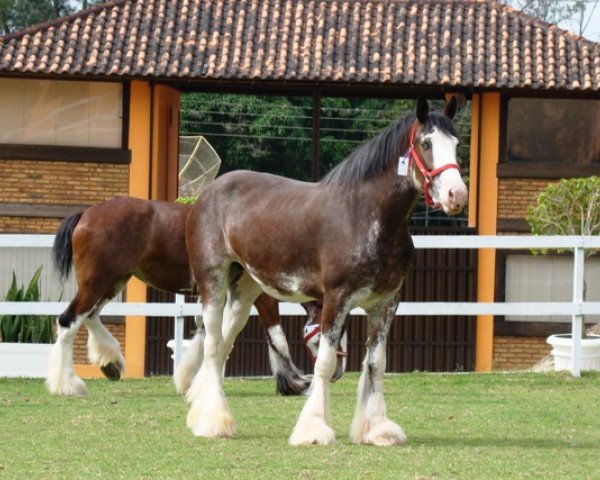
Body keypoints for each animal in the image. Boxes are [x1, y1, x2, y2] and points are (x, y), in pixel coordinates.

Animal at [47, 198, 310, 398]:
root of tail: (85, 213)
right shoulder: (259, 294)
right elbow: (277, 337)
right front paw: (296, 382)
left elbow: (207, 334)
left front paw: (190, 380)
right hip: (97, 283)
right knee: (68, 321)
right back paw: (67, 385)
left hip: (113, 282)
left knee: (90, 316)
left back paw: (111, 363)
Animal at [185, 97, 466, 446]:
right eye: (426, 143)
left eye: (457, 144)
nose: (457, 195)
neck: (365, 215)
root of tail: (208, 192)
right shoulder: (336, 299)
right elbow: (325, 364)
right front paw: (314, 429)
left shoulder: (385, 304)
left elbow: (376, 364)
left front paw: (377, 429)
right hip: (212, 283)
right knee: (212, 346)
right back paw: (211, 422)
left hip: (245, 291)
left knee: (223, 346)